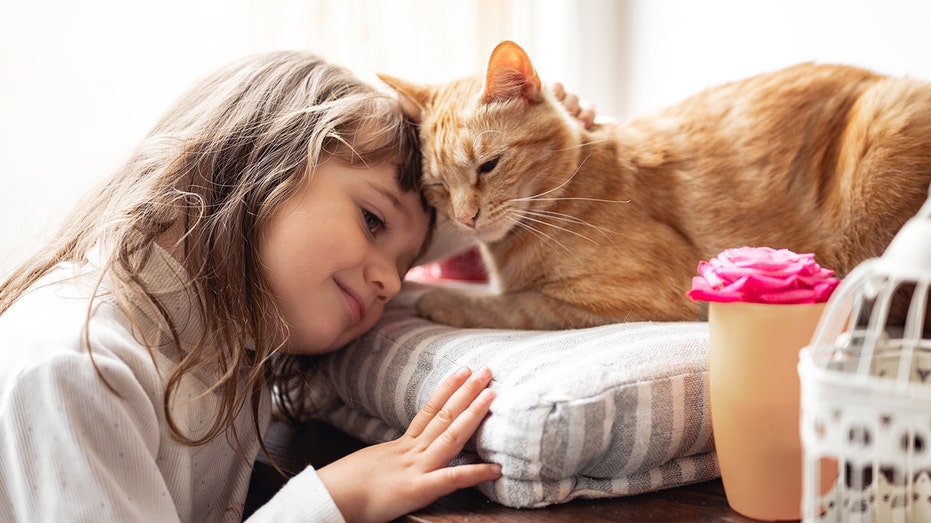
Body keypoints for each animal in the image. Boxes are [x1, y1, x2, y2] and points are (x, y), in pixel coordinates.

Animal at [380, 41, 931, 330]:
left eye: (489, 166)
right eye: (436, 186)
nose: (466, 218)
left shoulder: (647, 298)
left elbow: (518, 306)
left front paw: (438, 300)